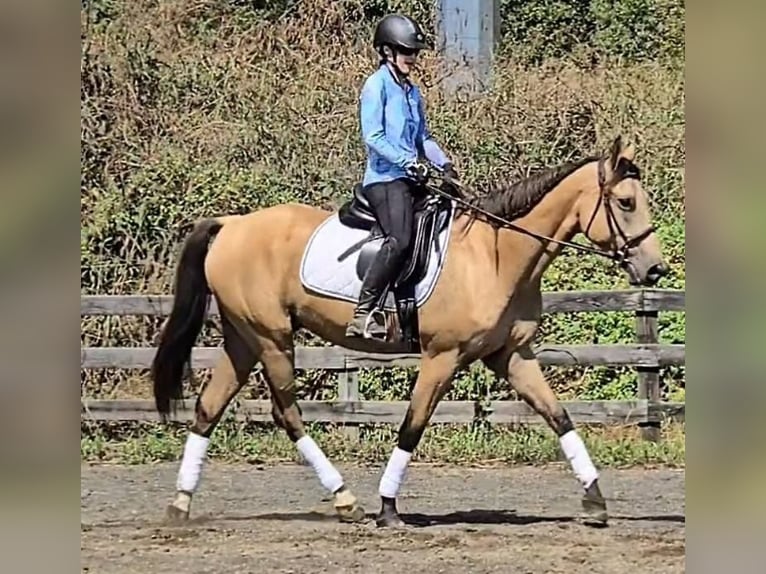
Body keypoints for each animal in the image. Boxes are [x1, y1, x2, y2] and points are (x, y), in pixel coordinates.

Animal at [151, 136, 669, 528]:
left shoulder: (512, 355)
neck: (495, 255)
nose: (656, 270)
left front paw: (595, 501)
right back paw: (345, 500)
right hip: (271, 337)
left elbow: (560, 417)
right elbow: (413, 426)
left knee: (209, 407)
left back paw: (180, 504)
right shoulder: (443, 356)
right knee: (286, 411)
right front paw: (388, 508)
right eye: (625, 202)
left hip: (243, 337)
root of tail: (232, 224)